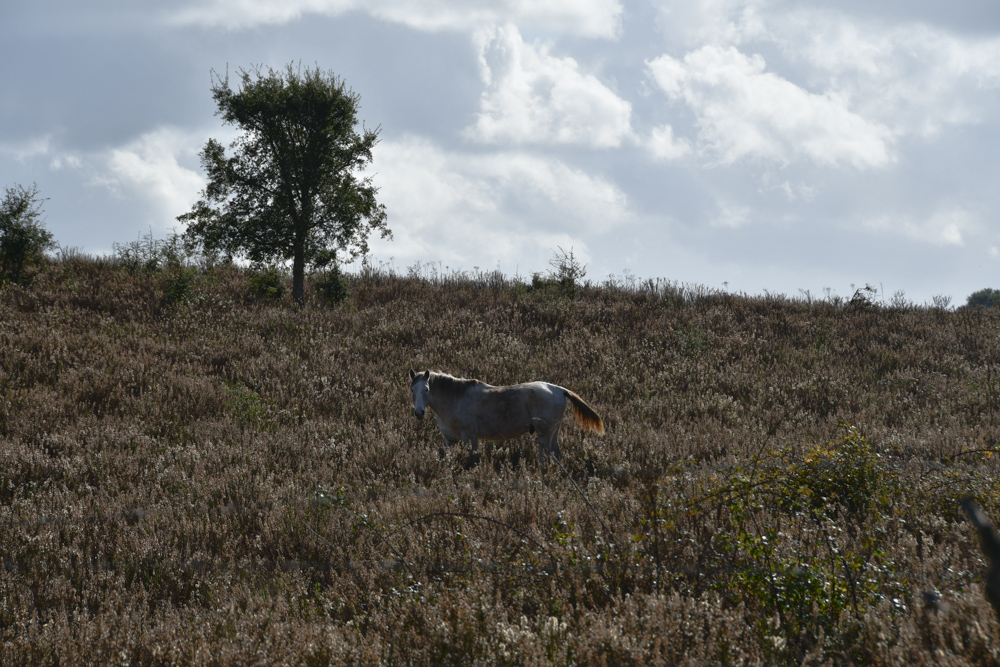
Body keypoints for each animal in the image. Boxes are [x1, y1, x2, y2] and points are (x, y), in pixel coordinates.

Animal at [404, 368, 600, 468]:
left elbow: (472, 459)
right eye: (412, 389)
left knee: (545, 453)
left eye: (427, 389)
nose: (419, 413)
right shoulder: (449, 439)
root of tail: (559, 389)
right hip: (553, 431)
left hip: (544, 432)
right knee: (556, 453)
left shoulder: (469, 437)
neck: (455, 400)